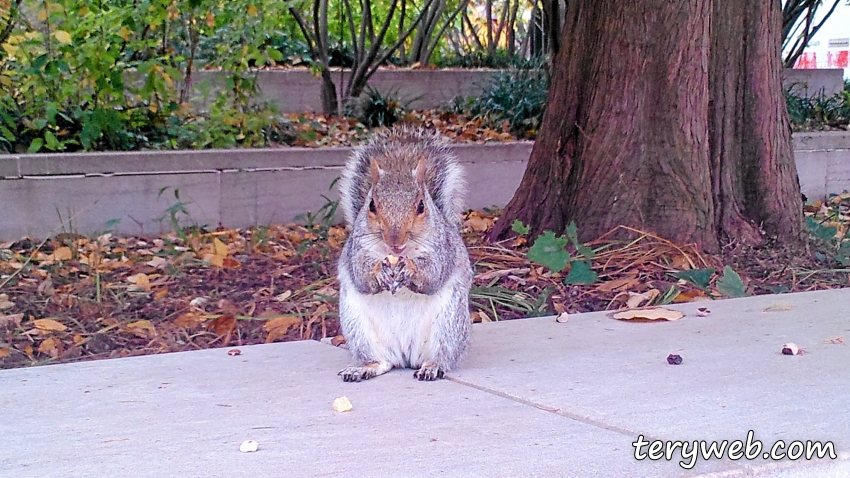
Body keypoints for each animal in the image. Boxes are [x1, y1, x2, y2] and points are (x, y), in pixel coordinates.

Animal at [336, 126, 470, 380]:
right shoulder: (357, 251)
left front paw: (409, 268)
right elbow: (361, 275)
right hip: (358, 329)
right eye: (371, 205)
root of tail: (406, 356)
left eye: (421, 206)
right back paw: (364, 368)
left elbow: (433, 275)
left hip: (448, 326)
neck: (398, 253)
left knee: (441, 355)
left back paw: (432, 367)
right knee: (381, 361)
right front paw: (379, 271)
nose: (394, 241)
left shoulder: (442, 250)